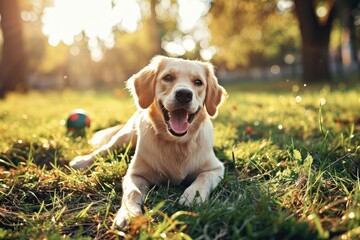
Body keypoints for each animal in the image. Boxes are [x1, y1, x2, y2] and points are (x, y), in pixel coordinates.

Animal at [69, 55, 226, 228]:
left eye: (198, 82)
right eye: (168, 77)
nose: (184, 94)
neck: (176, 143)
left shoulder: (216, 168)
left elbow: (203, 178)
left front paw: (193, 196)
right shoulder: (135, 174)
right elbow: (133, 192)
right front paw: (128, 214)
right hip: (125, 137)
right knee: (104, 149)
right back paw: (82, 161)